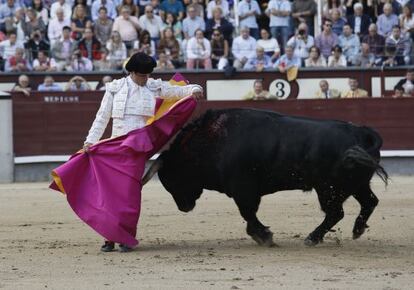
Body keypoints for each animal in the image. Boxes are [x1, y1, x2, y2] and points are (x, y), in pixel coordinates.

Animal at [143, 109, 388, 247]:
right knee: (369, 202)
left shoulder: (244, 189)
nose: (183, 207)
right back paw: (357, 230)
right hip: (355, 184)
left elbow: (248, 213)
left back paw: (312, 238)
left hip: (329, 188)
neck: (212, 141)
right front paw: (261, 235)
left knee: (336, 212)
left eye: (171, 178)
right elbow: (249, 214)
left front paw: (264, 236)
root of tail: (361, 133)